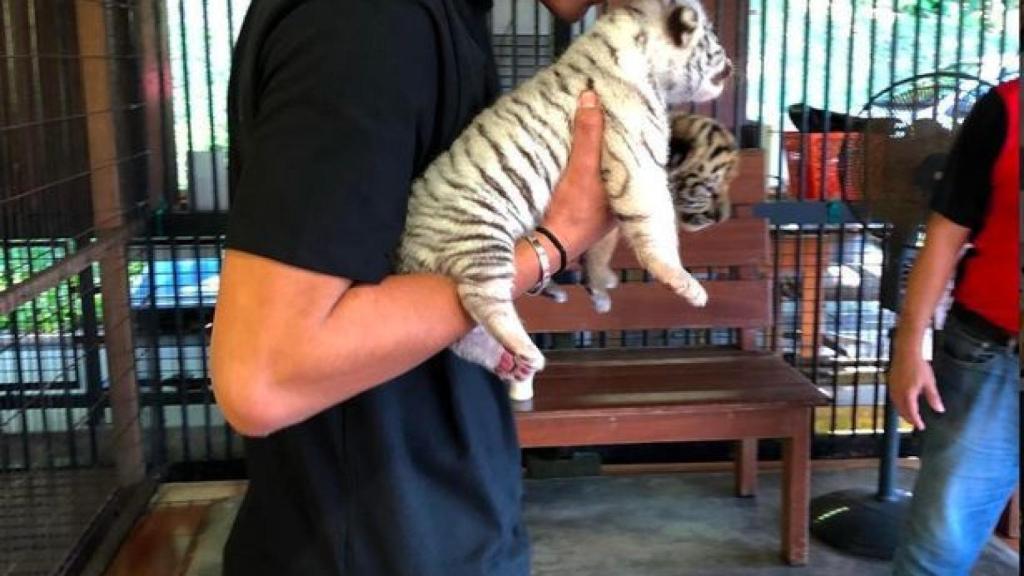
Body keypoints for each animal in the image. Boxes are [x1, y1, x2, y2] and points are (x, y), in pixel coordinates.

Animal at [396, 0, 734, 401]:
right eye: (713, 42)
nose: (732, 67)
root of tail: (408, 252)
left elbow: (603, 247)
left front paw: (602, 286)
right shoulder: (636, 162)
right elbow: (655, 225)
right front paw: (683, 282)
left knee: (466, 334)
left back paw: (508, 361)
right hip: (481, 238)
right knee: (482, 298)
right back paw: (528, 352)